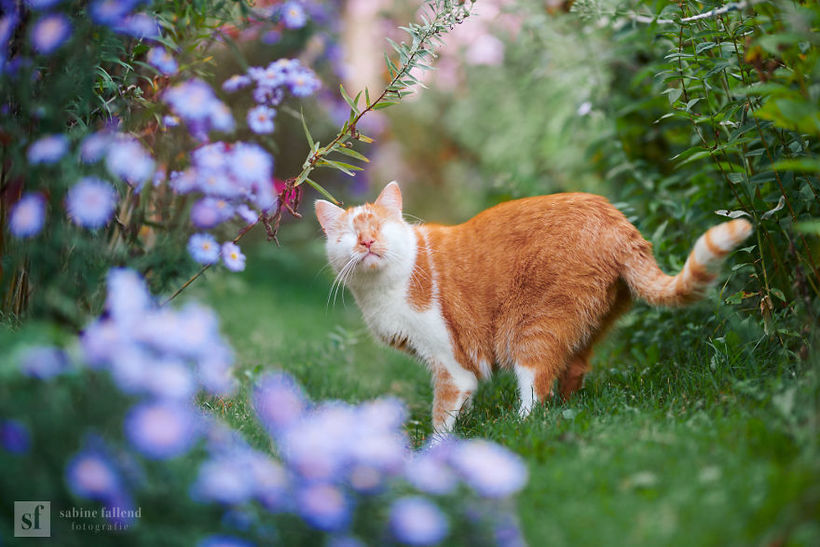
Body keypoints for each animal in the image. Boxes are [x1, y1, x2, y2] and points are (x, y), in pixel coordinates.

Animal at [318, 183, 752, 432]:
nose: (367, 243)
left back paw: (518, 429)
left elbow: (442, 415)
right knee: (572, 371)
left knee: (536, 390)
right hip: (586, 326)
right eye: (351, 234)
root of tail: (617, 222)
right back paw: (570, 409)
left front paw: (434, 454)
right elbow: (461, 405)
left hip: (534, 328)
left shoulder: (451, 363)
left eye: (379, 228)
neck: (385, 288)